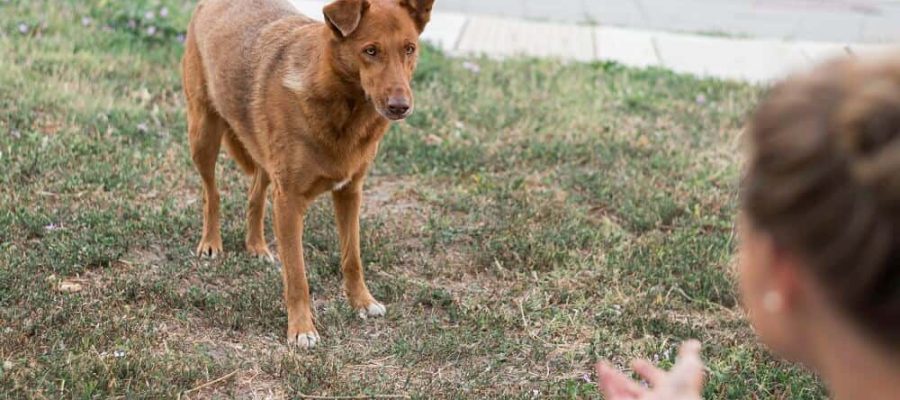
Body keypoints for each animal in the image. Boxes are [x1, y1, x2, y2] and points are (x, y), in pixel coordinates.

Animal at [182, 0, 432, 346]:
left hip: (261, 154)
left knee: (255, 191)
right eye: (370, 51)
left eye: (409, 49)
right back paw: (210, 242)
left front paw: (362, 302)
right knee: (212, 192)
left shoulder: (350, 193)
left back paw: (256, 245)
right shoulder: (289, 203)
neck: (343, 105)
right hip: (203, 134)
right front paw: (301, 329)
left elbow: (352, 258)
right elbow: (297, 275)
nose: (400, 106)